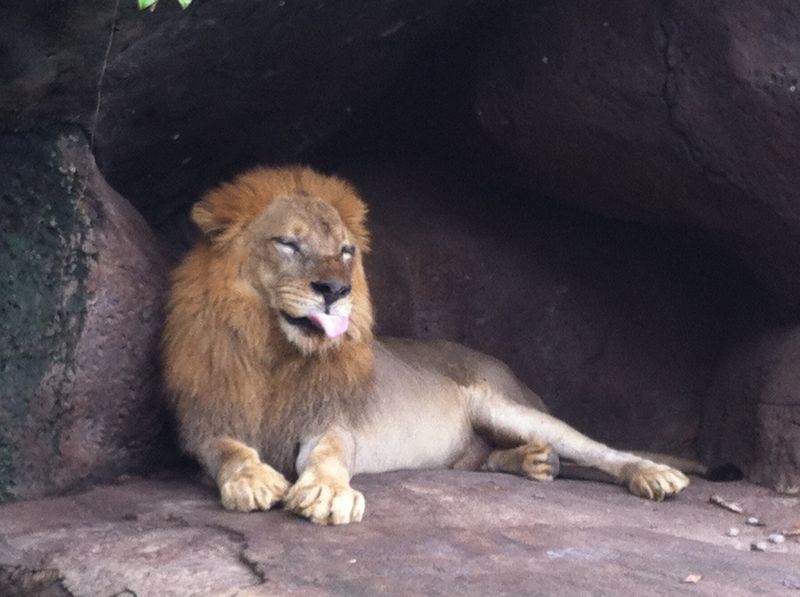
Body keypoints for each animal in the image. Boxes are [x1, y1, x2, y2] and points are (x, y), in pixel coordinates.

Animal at [163, 165, 690, 525]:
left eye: (346, 252)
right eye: (288, 244)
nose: (336, 290)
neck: (277, 352)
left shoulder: (333, 420)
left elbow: (328, 455)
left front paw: (329, 494)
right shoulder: (203, 423)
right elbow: (227, 450)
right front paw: (251, 479)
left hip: (504, 406)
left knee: (598, 449)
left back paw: (651, 474)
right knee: (482, 459)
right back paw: (534, 461)